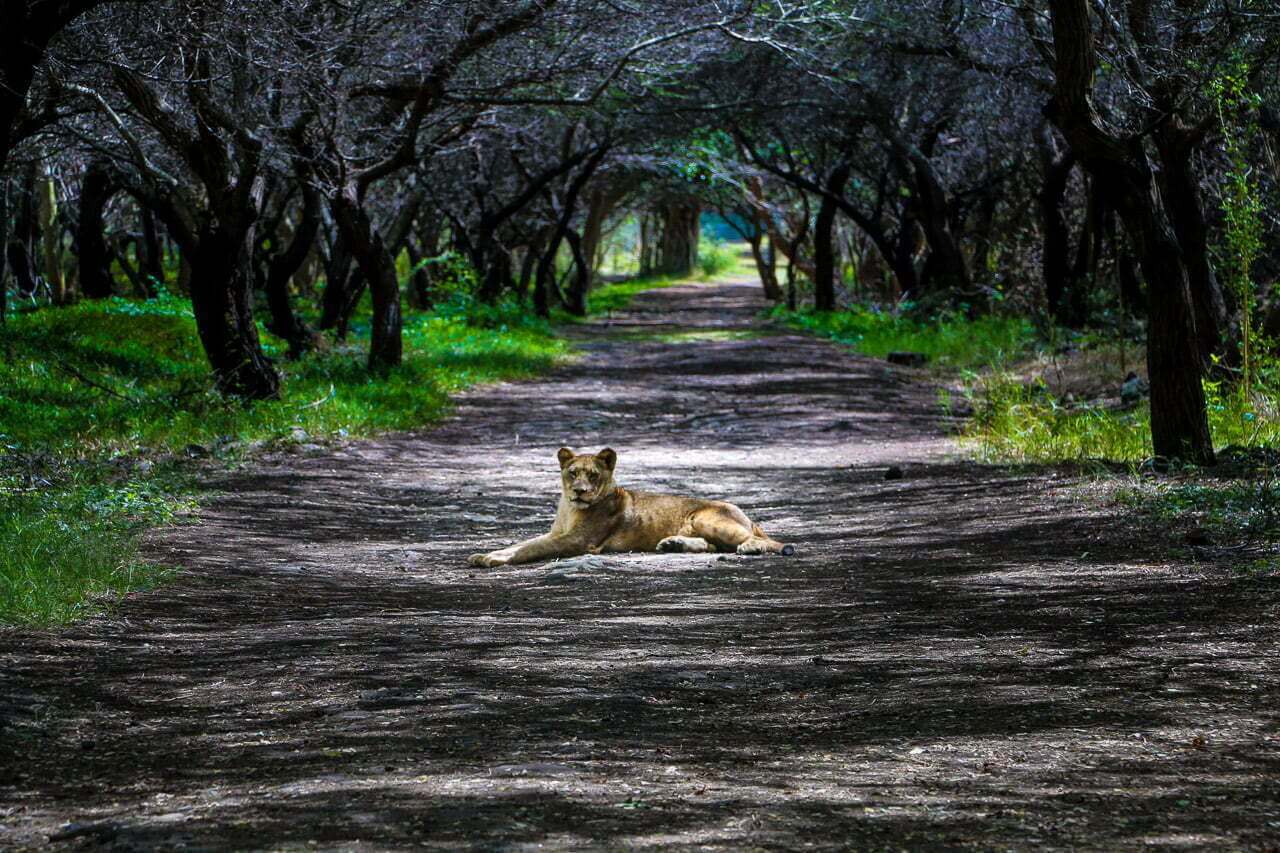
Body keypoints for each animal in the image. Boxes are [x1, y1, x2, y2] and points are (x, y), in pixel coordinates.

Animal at [465, 445, 793, 563]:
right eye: (573, 473)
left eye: (593, 475)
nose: (580, 491)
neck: (570, 509)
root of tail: (747, 515)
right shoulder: (558, 532)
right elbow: (522, 543)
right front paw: (485, 554)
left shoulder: (579, 541)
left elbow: (531, 549)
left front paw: (495, 560)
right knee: (711, 546)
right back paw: (672, 544)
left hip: (707, 518)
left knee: (774, 542)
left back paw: (752, 548)